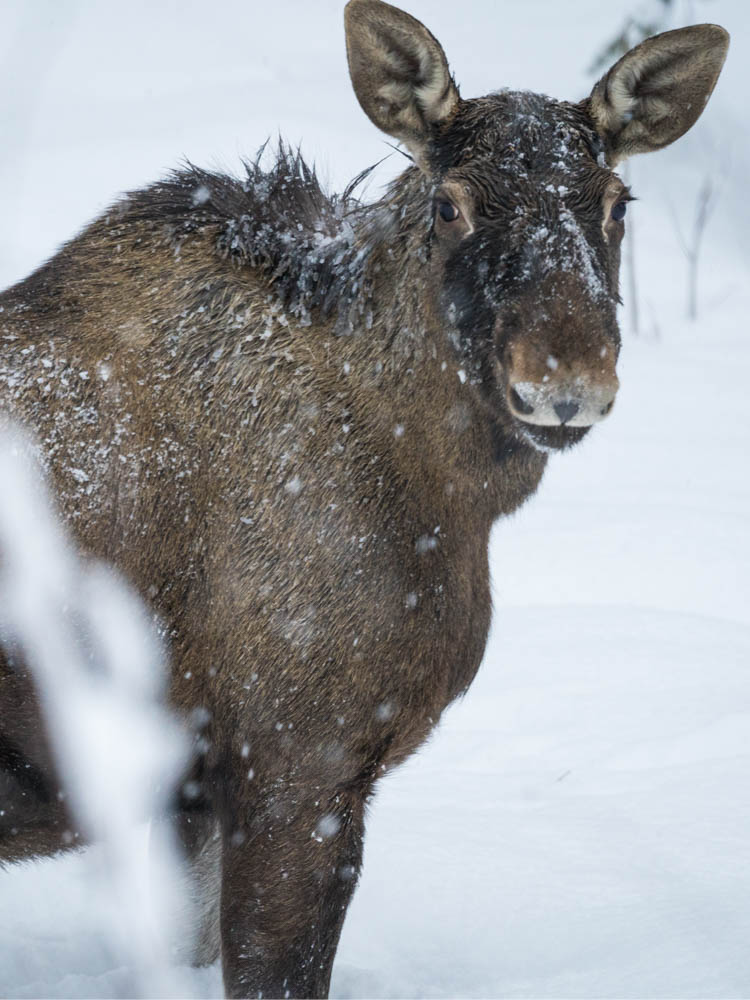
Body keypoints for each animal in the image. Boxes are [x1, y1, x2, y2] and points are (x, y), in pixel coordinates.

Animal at [0, 3, 728, 996]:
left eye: (618, 202)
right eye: (449, 204)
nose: (565, 384)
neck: (449, 502)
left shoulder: (201, 790)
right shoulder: (299, 764)